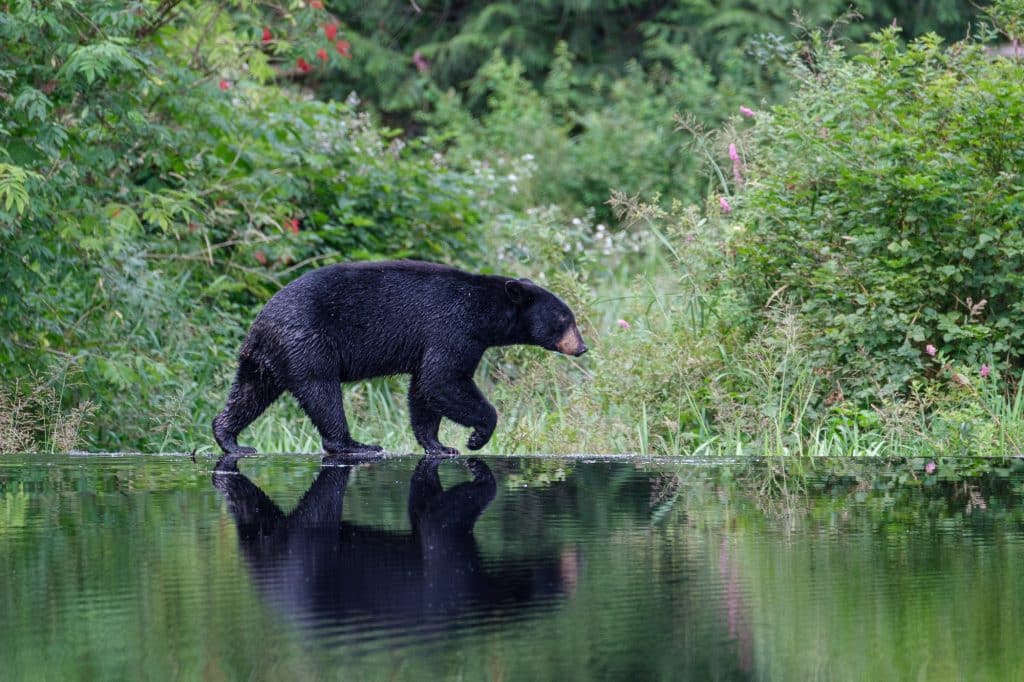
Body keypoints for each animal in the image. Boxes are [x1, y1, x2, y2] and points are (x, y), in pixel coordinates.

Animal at [212, 260, 587, 456]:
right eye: (565, 319)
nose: (581, 347)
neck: (484, 310)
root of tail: (262, 322)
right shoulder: (453, 329)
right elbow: (443, 379)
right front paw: (476, 436)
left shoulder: (438, 340)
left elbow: (424, 388)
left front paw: (439, 445)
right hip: (308, 342)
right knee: (322, 392)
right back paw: (354, 444)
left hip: (267, 358)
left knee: (250, 392)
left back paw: (231, 440)